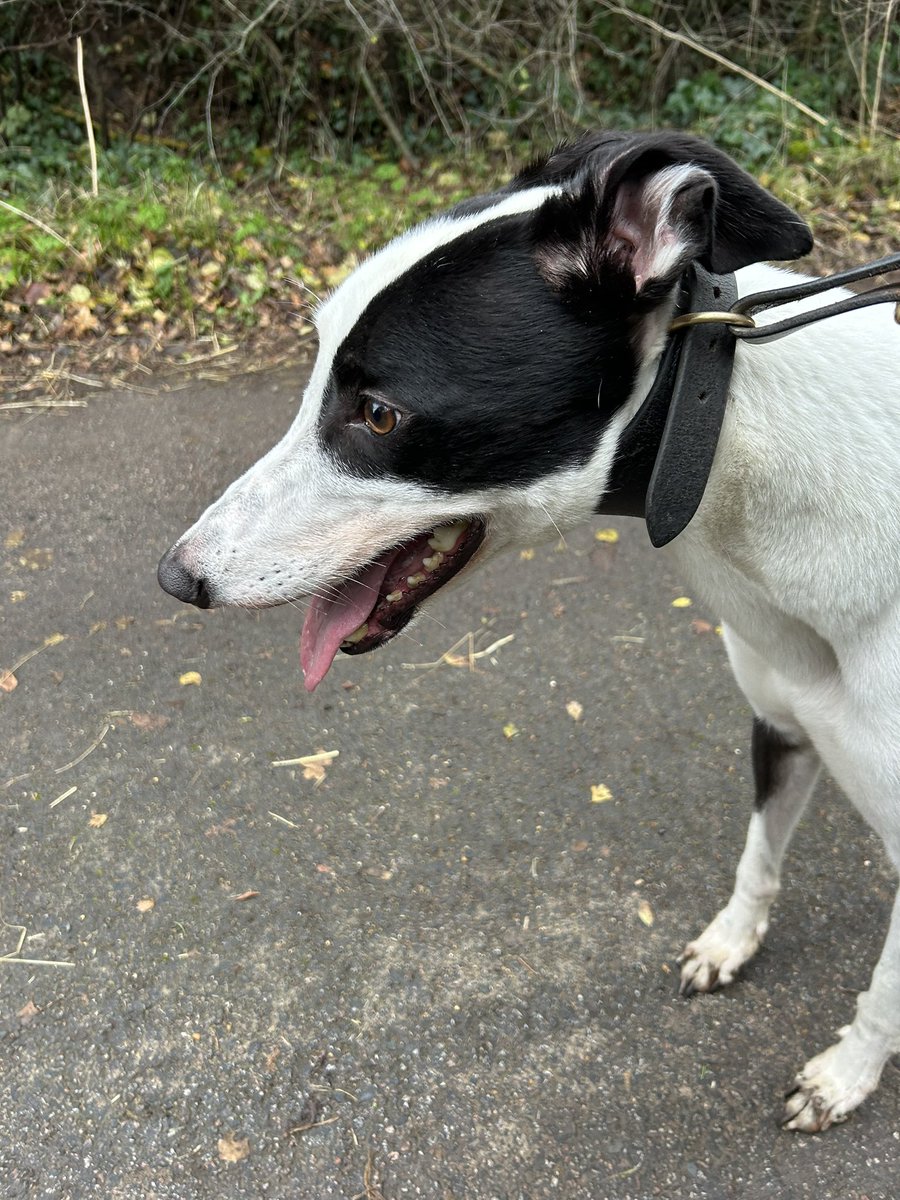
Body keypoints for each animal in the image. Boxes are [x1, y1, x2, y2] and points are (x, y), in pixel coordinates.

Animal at [160, 133, 900, 1132]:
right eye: (315, 371)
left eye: (379, 412)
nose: (179, 576)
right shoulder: (783, 723)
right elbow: (758, 863)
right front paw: (729, 943)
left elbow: (885, 992)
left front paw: (844, 1075)